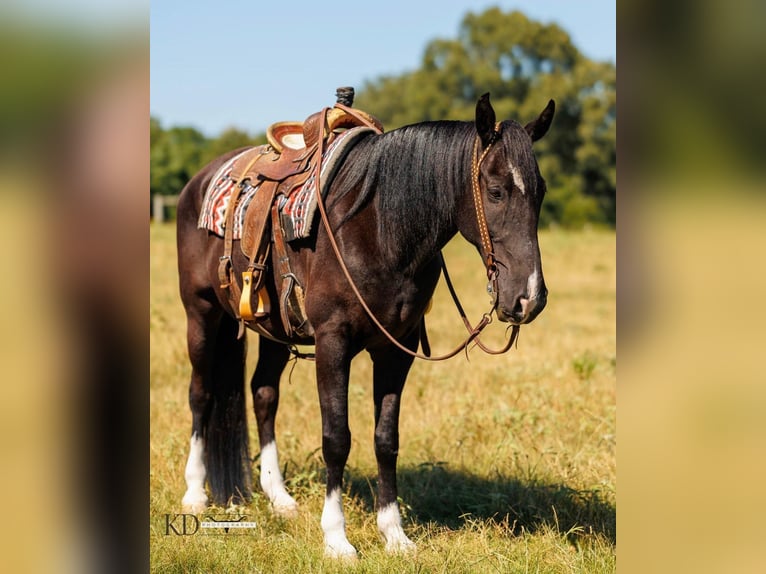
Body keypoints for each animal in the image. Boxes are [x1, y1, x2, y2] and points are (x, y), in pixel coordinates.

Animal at [175, 93, 554, 558]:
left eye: (541, 191)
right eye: (496, 190)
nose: (529, 297)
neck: (377, 228)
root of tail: (200, 179)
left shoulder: (396, 348)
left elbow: (386, 439)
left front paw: (394, 534)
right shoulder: (333, 342)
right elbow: (337, 438)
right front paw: (337, 539)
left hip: (275, 330)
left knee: (263, 394)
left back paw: (278, 497)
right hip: (201, 313)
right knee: (202, 394)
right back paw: (195, 493)